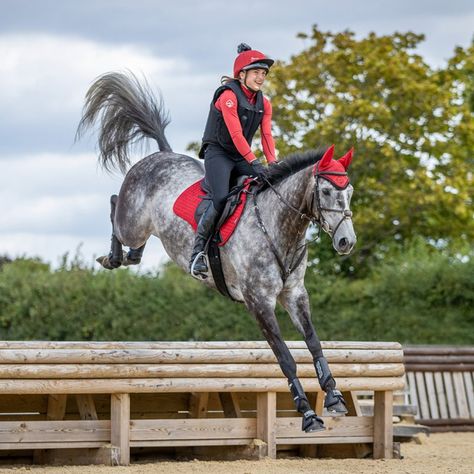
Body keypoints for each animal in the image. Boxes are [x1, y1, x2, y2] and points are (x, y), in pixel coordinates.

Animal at [78, 71, 356, 434]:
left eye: (349, 192)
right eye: (325, 191)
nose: (346, 242)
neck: (278, 226)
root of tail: (161, 154)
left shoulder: (295, 294)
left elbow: (314, 342)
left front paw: (335, 397)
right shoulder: (258, 301)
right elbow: (285, 357)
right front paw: (308, 414)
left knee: (133, 246)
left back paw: (130, 256)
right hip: (133, 222)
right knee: (114, 206)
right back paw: (110, 257)